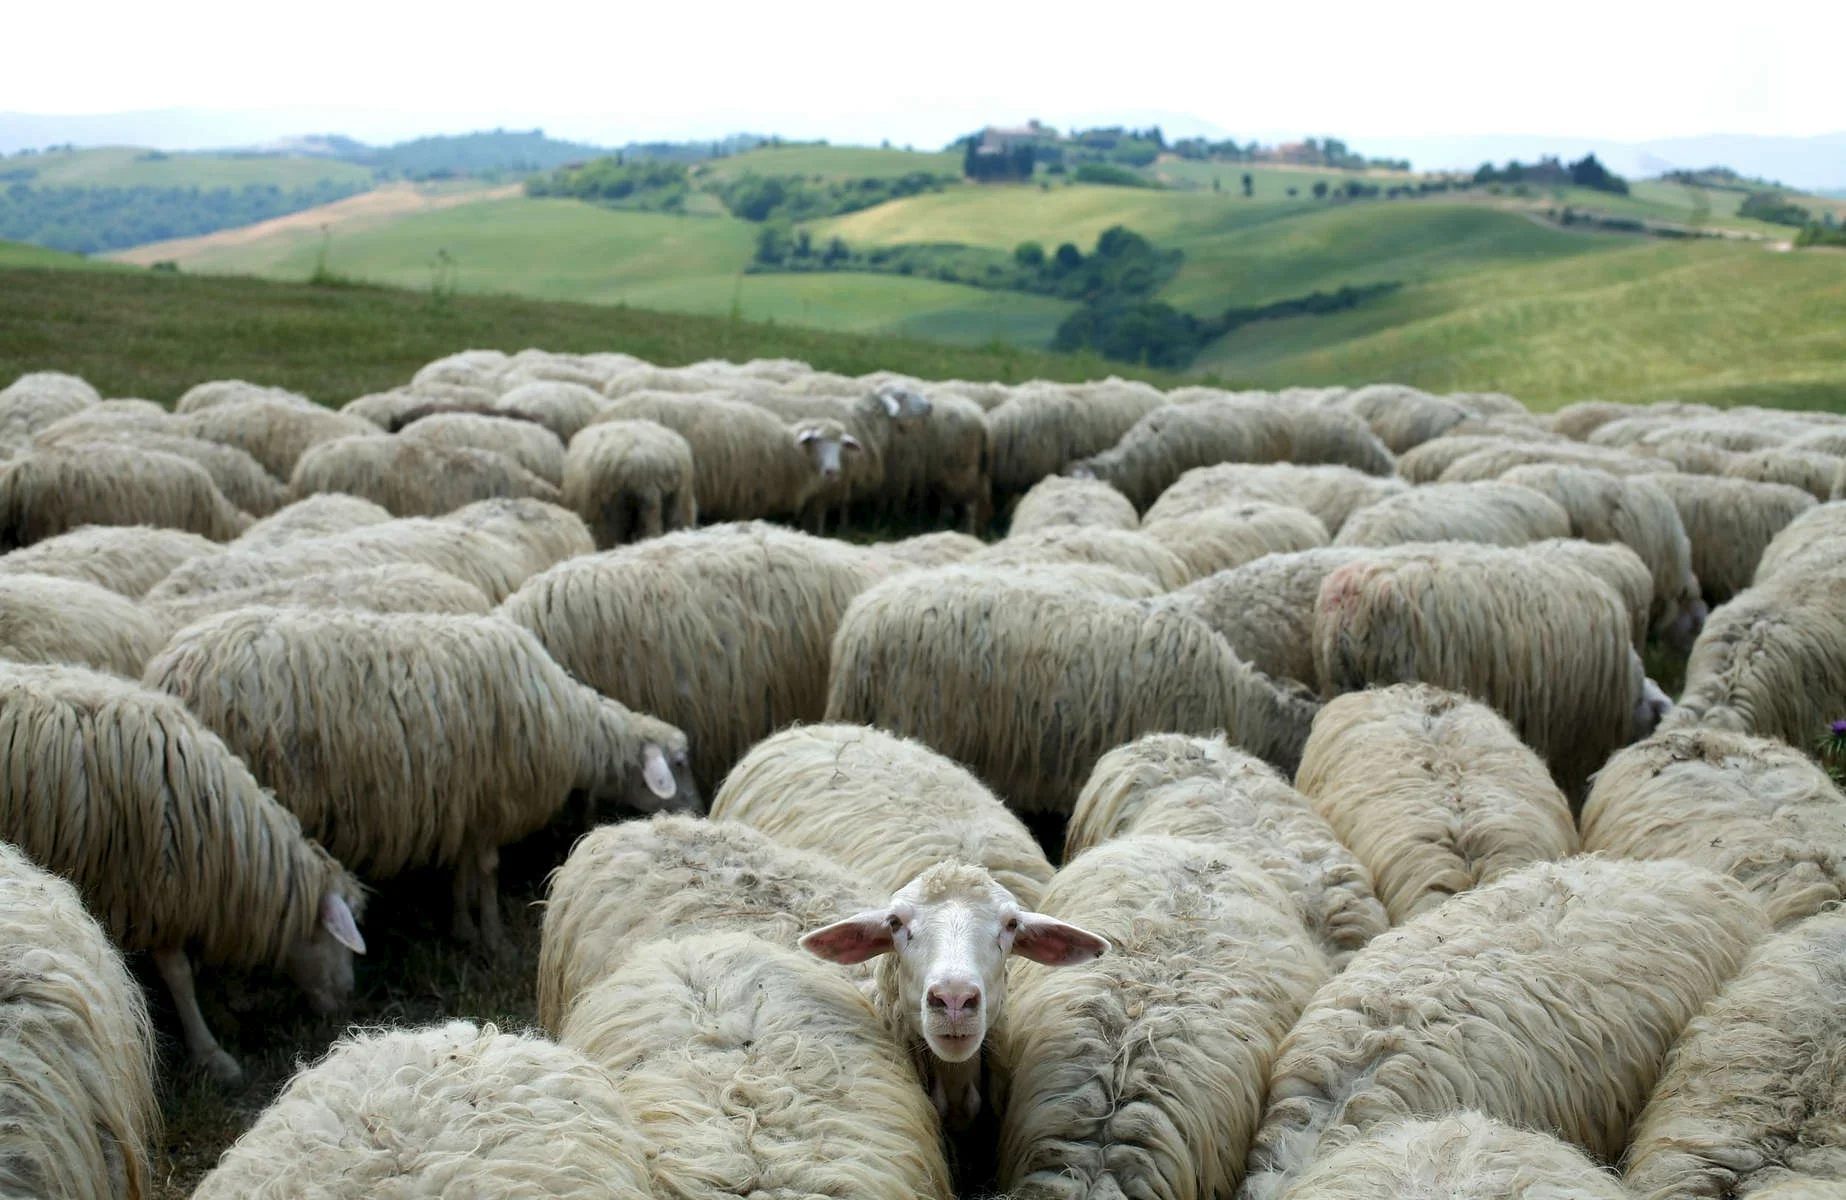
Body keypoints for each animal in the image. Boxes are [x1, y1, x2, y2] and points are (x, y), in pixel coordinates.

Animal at [145, 607, 698, 949]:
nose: (696, 809)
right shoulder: (493, 796)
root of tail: (170, 669)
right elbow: (488, 870)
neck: (566, 721)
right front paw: (492, 936)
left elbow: (462, 868)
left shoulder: (463, 800)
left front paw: (461, 926)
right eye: (680, 761)